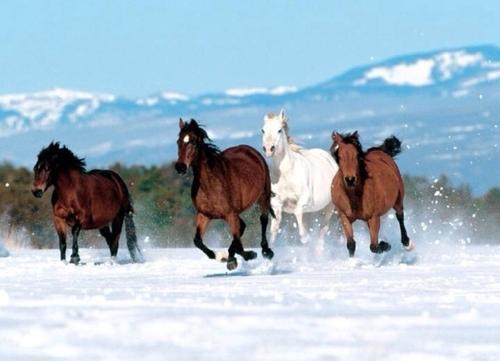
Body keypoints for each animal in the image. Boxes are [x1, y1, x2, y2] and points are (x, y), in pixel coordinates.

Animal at [175, 119, 276, 270]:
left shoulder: (230, 214)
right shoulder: (204, 215)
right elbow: (197, 241)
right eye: (178, 141)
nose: (180, 167)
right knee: (242, 227)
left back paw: (266, 251)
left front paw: (247, 255)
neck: (210, 185)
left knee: (263, 220)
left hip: (263, 196)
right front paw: (220, 257)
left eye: (193, 142)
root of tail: (250, 150)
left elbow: (239, 243)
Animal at [262, 108, 340, 246]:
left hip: (329, 207)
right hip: (312, 212)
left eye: (279, 130)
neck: (287, 174)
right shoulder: (277, 205)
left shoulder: (305, 200)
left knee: (323, 229)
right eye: (263, 130)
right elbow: (274, 230)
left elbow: (297, 212)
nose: (268, 149)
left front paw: (305, 238)